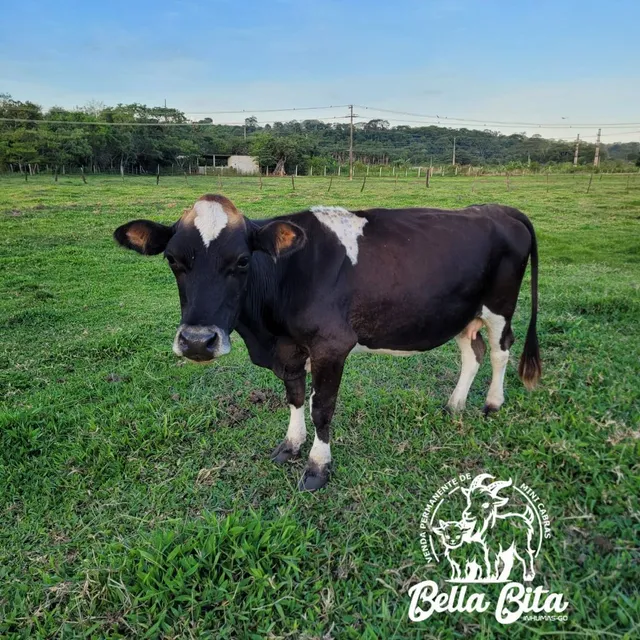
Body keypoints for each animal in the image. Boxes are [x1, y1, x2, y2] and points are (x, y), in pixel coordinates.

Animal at [114, 195, 541, 492]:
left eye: (241, 261)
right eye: (172, 260)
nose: (198, 342)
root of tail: (498, 209)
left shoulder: (332, 345)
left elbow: (322, 408)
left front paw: (318, 466)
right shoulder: (288, 348)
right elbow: (294, 396)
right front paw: (290, 446)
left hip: (500, 306)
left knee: (500, 351)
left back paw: (492, 403)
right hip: (463, 314)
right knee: (473, 353)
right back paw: (454, 406)